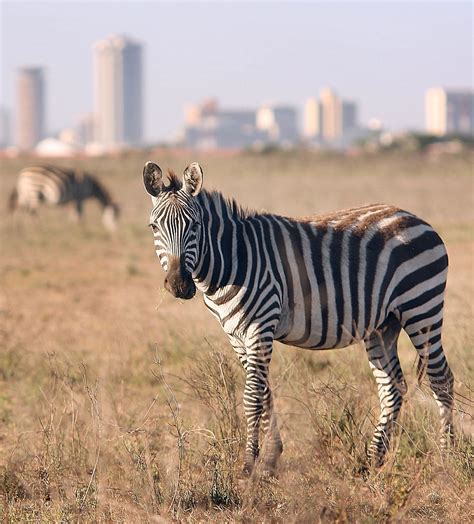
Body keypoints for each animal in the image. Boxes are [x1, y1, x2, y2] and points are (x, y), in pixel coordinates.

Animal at [143, 161, 456, 474]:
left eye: (194, 225)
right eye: (154, 227)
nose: (179, 285)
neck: (234, 259)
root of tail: (415, 218)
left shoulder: (261, 325)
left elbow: (252, 396)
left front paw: (249, 465)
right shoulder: (236, 334)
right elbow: (264, 392)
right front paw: (271, 458)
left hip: (421, 307)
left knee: (441, 379)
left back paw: (446, 460)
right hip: (383, 324)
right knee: (393, 387)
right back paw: (372, 461)